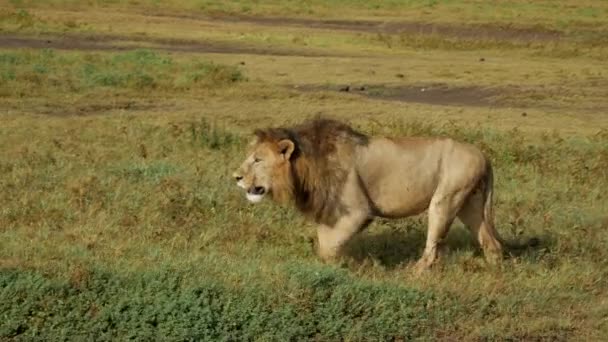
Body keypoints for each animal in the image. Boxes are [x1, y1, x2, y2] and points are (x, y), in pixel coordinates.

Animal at [233, 118, 508, 272]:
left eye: (257, 159)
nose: (236, 177)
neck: (305, 164)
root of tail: (484, 156)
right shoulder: (330, 212)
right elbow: (324, 241)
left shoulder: (356, 212)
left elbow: (328, 247)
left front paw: (345, 267)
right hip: (470, 203)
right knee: (491, 243)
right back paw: (494, 271)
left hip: (445, 200)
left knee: (433, 246)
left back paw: (414, 272)